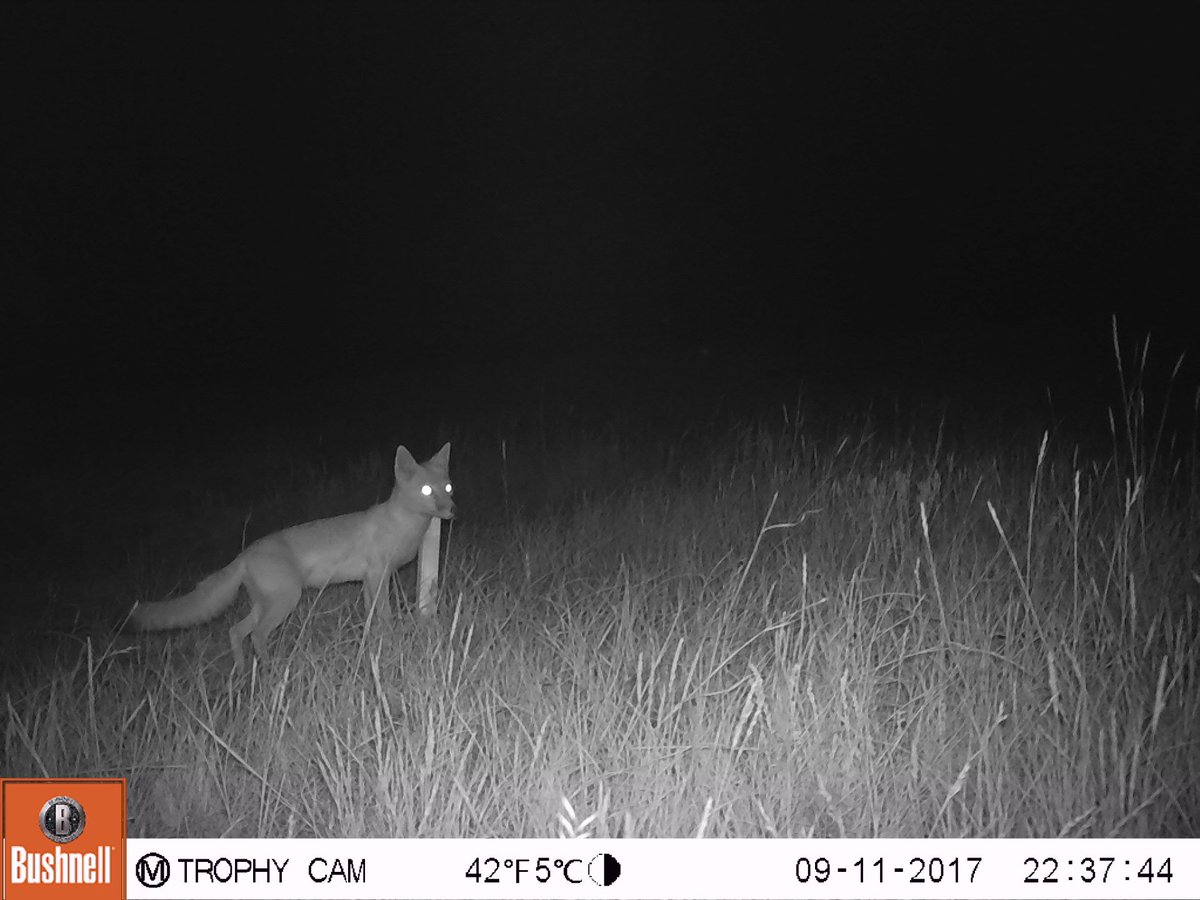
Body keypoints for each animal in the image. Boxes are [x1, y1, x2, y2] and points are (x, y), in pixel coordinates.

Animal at [128, 442, 455, 668]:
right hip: (285, 601)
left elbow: (373, 617)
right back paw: (270, 670)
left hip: (267, 603)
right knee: (256, 635)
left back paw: (242, 670)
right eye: (427, 490)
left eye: (448, 487)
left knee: (236, 631)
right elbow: (384, 616)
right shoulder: (378, 574)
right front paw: (388, 640)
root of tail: (245, 554)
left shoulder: (370, 580)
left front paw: (376, 642)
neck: (402, 526)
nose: (452, 510)